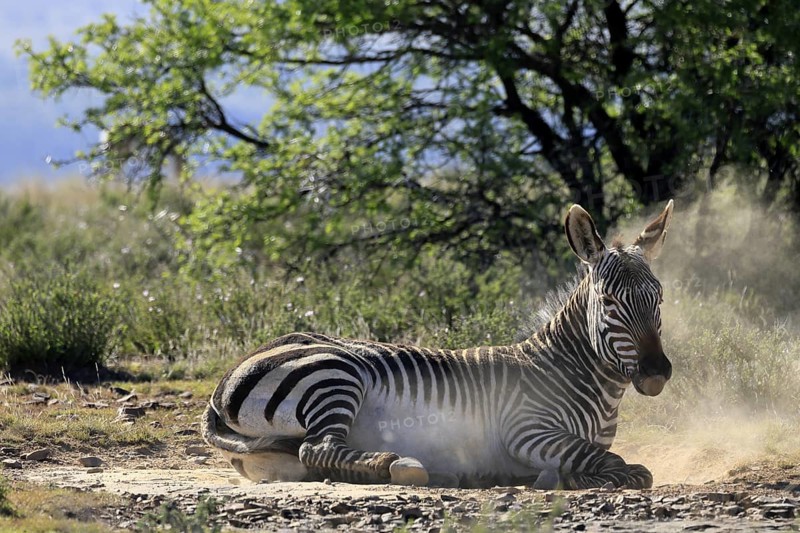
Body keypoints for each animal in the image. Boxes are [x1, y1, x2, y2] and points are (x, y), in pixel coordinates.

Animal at [202, 200, 674, 489]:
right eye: (609, 302)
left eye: (659, 299)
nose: (656, 373)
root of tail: (226, 379)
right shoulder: (526, 428)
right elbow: (627, 469)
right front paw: (566, 478)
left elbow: (610, 463)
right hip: (334, 374)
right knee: (319, 447)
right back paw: (397, 464)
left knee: (308, 456)